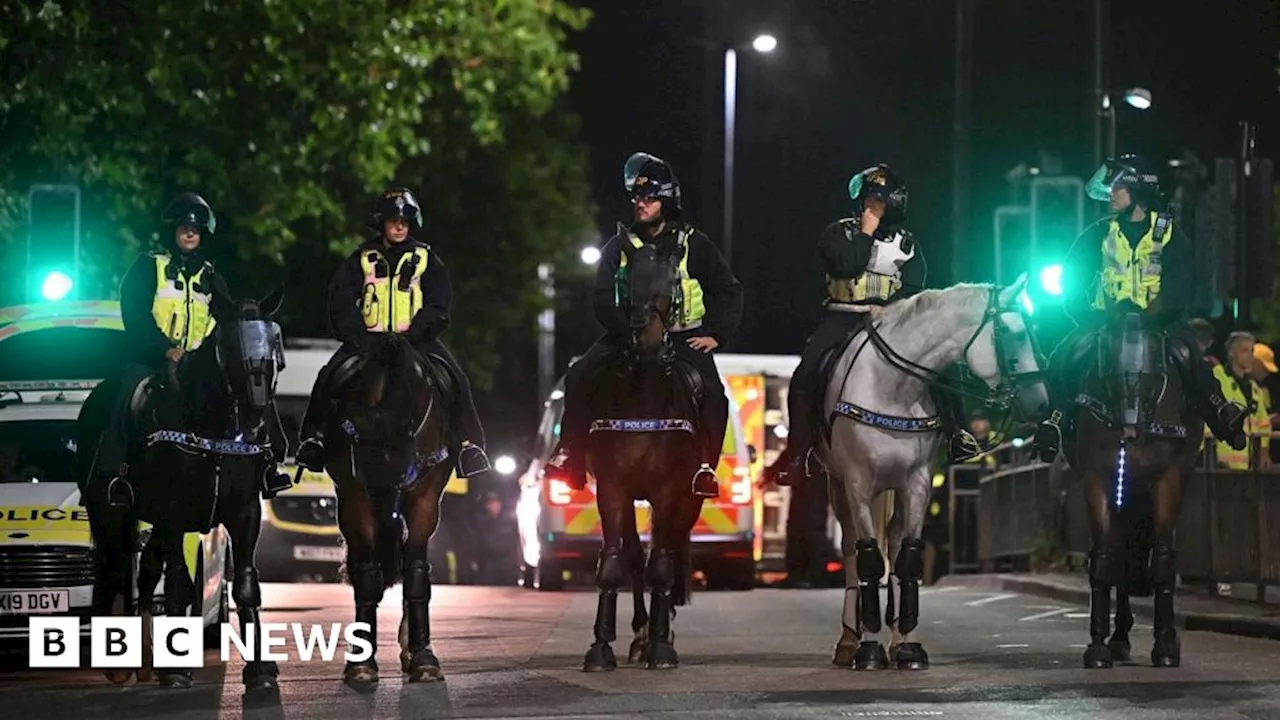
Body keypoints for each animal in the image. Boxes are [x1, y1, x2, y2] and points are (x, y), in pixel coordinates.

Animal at [77, 283, 293, 686]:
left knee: (146, 573)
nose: (257, 413)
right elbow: (178, 583)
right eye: (229, 346)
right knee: (115, 568)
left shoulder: (244, 513)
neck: (212, 426)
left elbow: (245, 585)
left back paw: (146, 659)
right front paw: (176, 669)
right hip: (111, 513)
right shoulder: (174, 516)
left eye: (273, 343)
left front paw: (260, 668)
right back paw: (120, 665)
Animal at [819, 272, 1049, 666]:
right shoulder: (858, 484)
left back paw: (895, 638)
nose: (1041, 403)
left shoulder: (917, 484)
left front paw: (908, 645)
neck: (894, 388)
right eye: (1010, 332)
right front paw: (869, 648)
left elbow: (908, 558)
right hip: (840, 487)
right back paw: (850, 640)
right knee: (852, 550)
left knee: (894, 544)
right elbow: (868, 561)